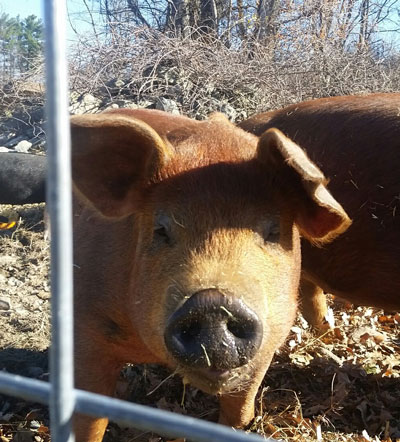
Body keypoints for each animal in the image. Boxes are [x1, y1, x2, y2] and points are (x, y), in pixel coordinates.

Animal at [71, 108, 350, 442]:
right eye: (161, 230)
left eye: (273, 231)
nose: (214, 303)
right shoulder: (86, 327)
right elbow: (89, 418)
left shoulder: (269, 344)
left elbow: (239, 413)